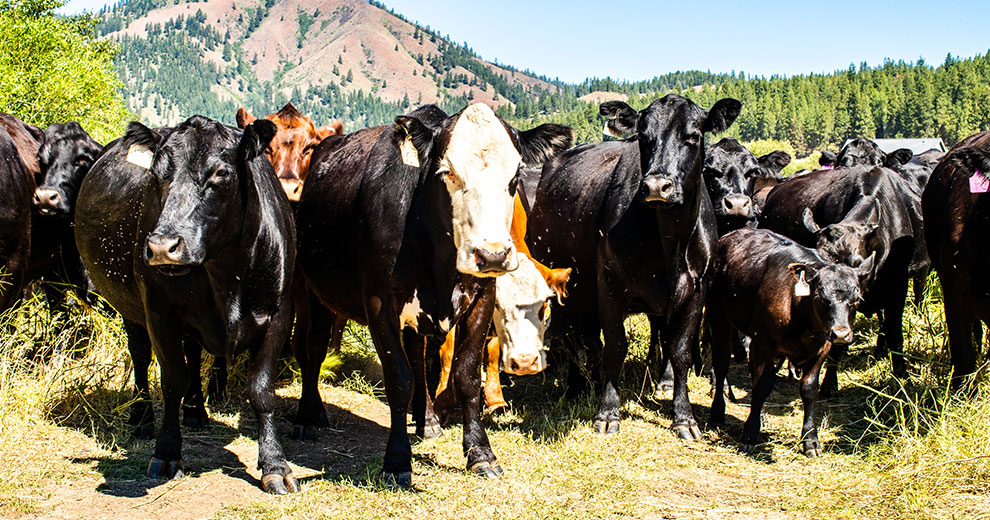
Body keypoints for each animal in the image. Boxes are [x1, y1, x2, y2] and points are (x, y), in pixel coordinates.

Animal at [75, 116, 299, 494]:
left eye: (221, 173)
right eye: (156, 173)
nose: (162, 246)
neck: (227, 274)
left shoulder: (279, 315)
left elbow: (261, 389)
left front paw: (274, 464)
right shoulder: (158, 313)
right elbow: (171, 380)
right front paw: (166, 453)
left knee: (193, 353)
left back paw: (195, 411)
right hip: (130, 308)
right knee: (140, 357)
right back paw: (142, 419)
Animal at [293, 103, 572, 486]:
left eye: (516, 176)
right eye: (446, 172)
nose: (493, 255)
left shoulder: (480, 298)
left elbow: (465, 375)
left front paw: (480, 453)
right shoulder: (379, 304)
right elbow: (399, 378)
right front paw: (397, 460)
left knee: (416, 354)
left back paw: (426, 420)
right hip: (315, 291)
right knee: (315, 348)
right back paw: (309, 416)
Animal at [528, 94, 741, 438]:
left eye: (694, 137)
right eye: (643, 137)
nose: (656, 186)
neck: (670, 242)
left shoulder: (696, 292)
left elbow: (680, 352)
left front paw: (684, 417)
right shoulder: (609, 285)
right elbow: (615, 347)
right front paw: (607, 412)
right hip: (565, 286)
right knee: (573, 337)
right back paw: (576, 387)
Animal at [708, 228, 871, 456]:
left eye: (857, 300)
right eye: (820, 297)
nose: (840, 334)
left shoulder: (822, 347)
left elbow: (809, 389)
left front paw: (810, 440)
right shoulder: (763, 342)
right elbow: (762, 386)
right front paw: (749, 434)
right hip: (719, 316)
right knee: (722, 364)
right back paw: (717, 412)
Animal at [759, 166, 917, 395]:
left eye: (857, 261)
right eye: (818, 257)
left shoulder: (899, 286)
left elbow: (895, 333)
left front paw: (902, 376)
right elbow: (835, 345)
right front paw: (829, 384)